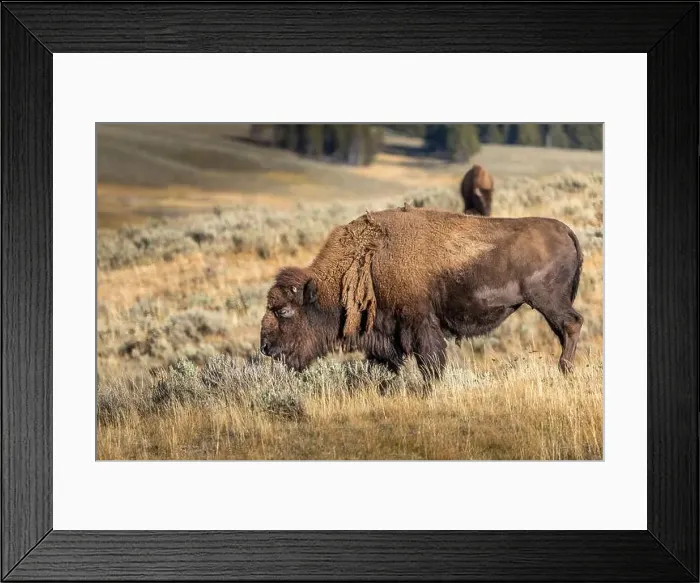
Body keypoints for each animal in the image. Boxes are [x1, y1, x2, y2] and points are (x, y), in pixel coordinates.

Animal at [260, 206, 583, 382]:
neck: (366, 260)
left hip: (548, 301)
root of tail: (565, 229)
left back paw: (564, 370)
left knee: (572, 324)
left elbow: (430, 360)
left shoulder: (418, 322)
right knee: (566, 329)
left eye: (284, 311)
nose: (266, 347)